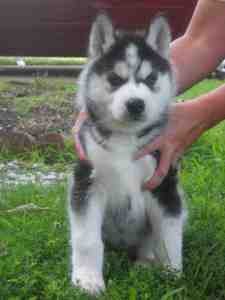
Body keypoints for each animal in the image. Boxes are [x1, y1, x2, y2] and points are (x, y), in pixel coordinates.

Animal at [69, 13, 186, 292]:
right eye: (115, 79)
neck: (125, 140)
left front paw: (172, 276)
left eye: (151, 79)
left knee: (149, 242)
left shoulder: (164, 185)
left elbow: (168, 236)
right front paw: (87, 279)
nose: (135, 104)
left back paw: (145, 263)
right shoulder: (87, 183)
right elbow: (87, 240)